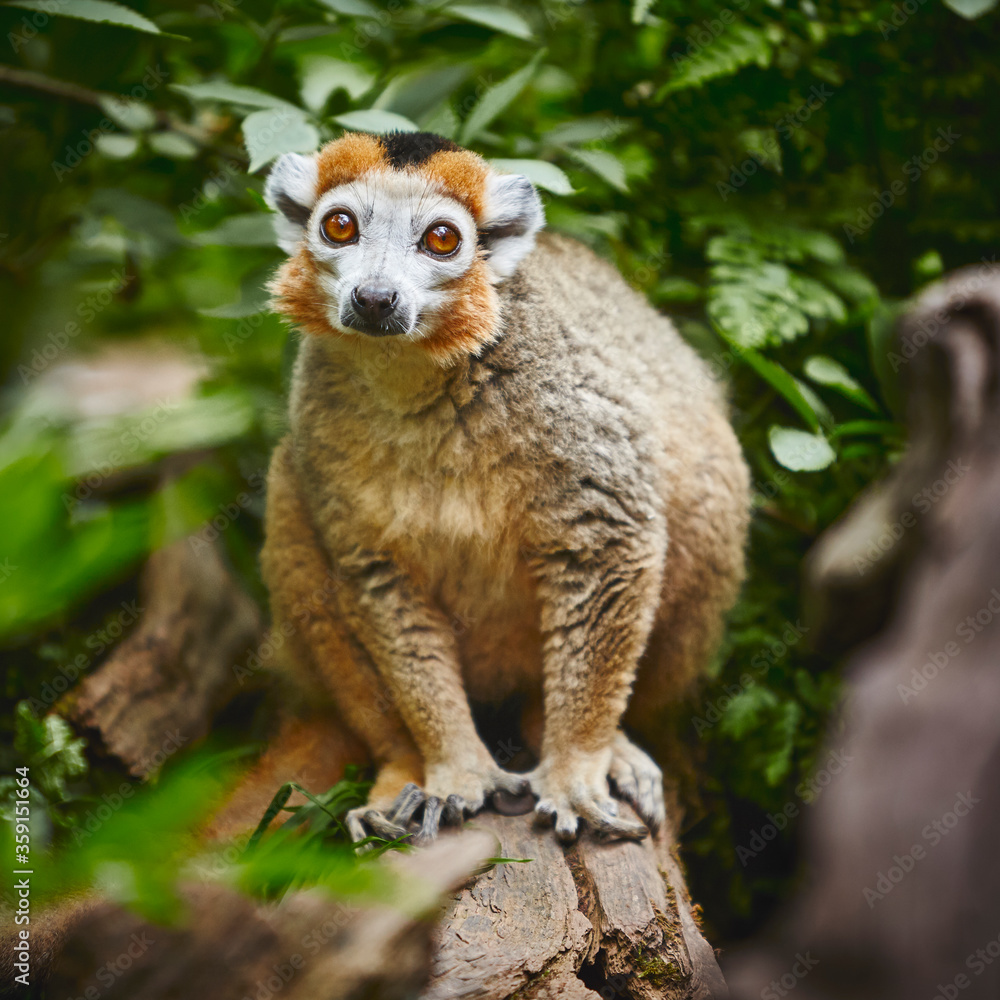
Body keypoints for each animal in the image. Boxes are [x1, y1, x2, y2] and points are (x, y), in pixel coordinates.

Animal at [259, 131, 750, 845]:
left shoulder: (569, 413)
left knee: (706, 485)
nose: (375, 298)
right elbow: (376, 579)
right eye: (339, 226)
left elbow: (611, 543)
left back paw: (581, 737)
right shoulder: (322, 429)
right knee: (289, 494)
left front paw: (574, 770)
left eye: (441, 239)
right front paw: (454, 771)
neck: (410, 379)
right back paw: (398, 770)